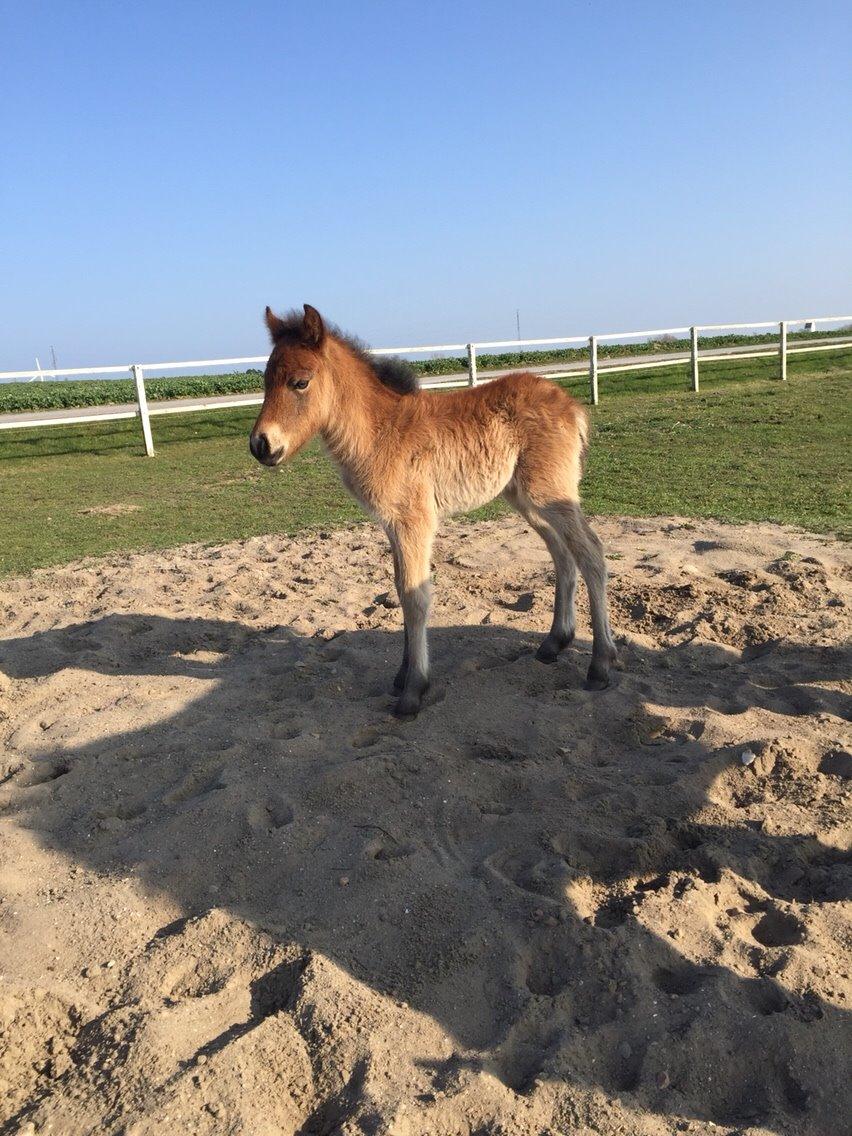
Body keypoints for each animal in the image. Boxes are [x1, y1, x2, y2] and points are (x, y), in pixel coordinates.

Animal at [249, 306, 617, 713]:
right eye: (265, 380)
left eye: (300, 383)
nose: (261, 445)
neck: (381, 431)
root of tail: (571, 405)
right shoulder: (393, 524)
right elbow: (400, 588)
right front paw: (401, 676)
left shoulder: (414, 521)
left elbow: (415, 596)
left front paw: (414, 690)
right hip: (525, 498)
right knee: (563, 555)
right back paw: (555, 642)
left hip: (550, 493)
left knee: (591, 553)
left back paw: (600, 665)